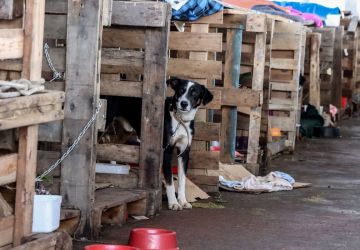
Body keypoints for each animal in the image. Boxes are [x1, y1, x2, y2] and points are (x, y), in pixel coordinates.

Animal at [163, 77, 214, 210]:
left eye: (195, 93)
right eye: (181, 90)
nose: (184, 103)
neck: (181, 120)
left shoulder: (184, 153)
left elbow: (182, 181)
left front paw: (183, 201)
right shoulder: (166, 151)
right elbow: (169, 181)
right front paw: (173, 203)